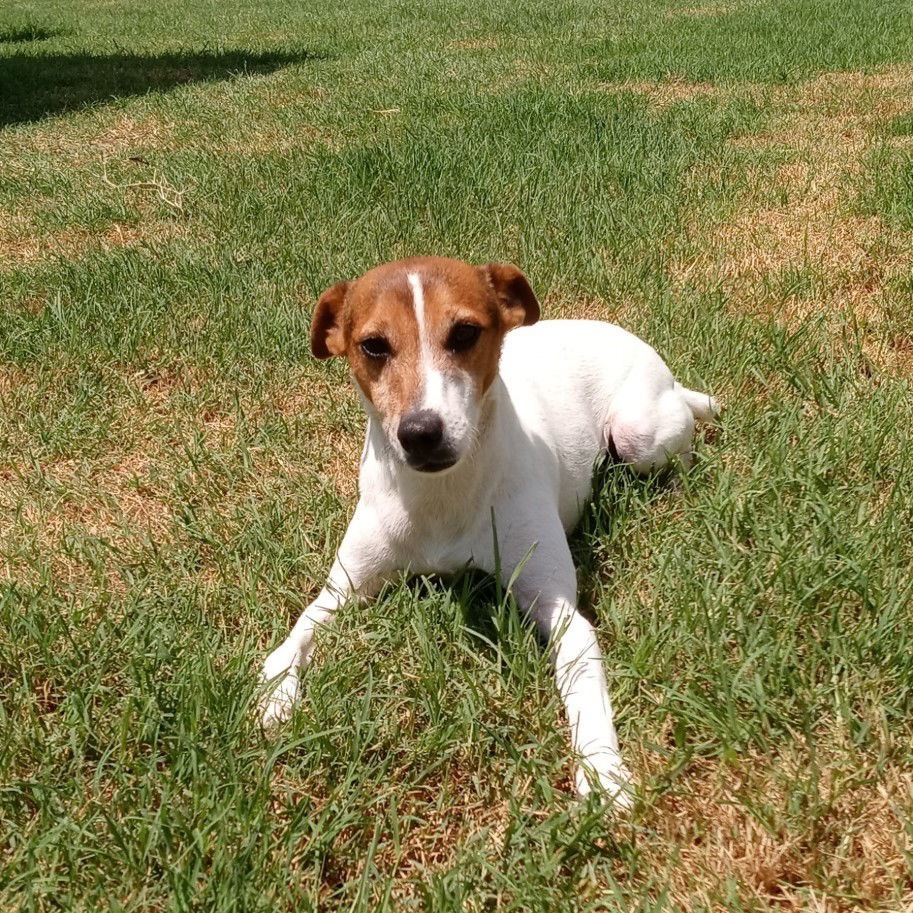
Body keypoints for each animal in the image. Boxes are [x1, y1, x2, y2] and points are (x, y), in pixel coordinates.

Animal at [258, 255, 720, 804]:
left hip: (639, 434)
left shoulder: (561, 612)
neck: (442, 498)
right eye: (373, 345)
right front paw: (277, 692)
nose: (420, 433)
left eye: (464, 333)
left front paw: (603, 773)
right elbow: (297, 634)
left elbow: (585, 687)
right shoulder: (344, 588)